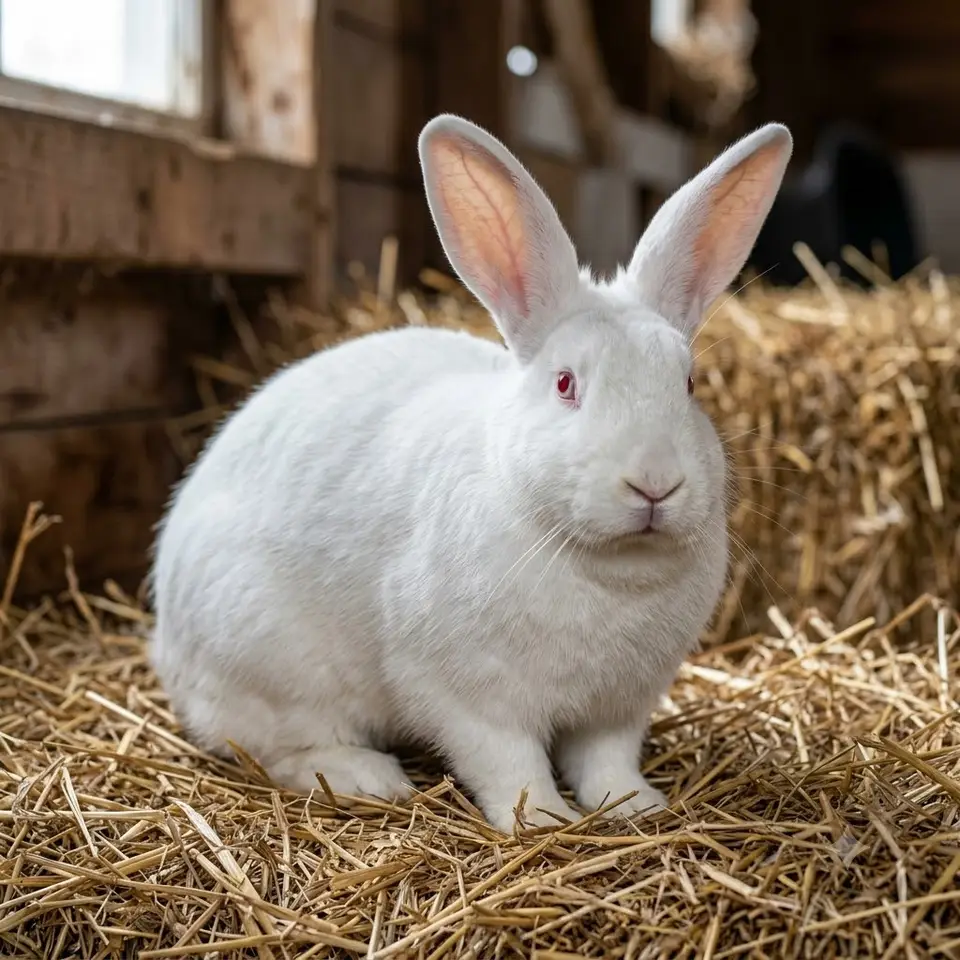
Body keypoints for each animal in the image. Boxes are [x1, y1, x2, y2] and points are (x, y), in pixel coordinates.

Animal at [149, 113, 792, 833]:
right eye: (565, 384)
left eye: (688, 384)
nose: (654, 483)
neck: (607, 570)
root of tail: (166, 642)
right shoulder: (468, 696)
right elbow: (509, 763)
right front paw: (542, 821)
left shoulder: (619, 707)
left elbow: (606, 761)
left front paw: (634, 806)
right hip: (271, 664)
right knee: (278, 748)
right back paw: (368, 778)